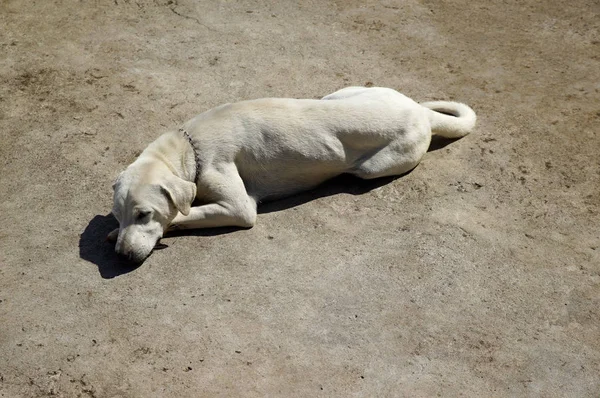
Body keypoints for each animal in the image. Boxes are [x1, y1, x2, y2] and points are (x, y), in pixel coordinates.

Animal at [106, 85, 474, 262]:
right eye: (120, 214)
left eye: (144, 214)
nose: (122, 257)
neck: (189, 147)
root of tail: (419, 111)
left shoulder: (239, 207)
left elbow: (184, 214)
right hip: (339, 92)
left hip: (374, 167)